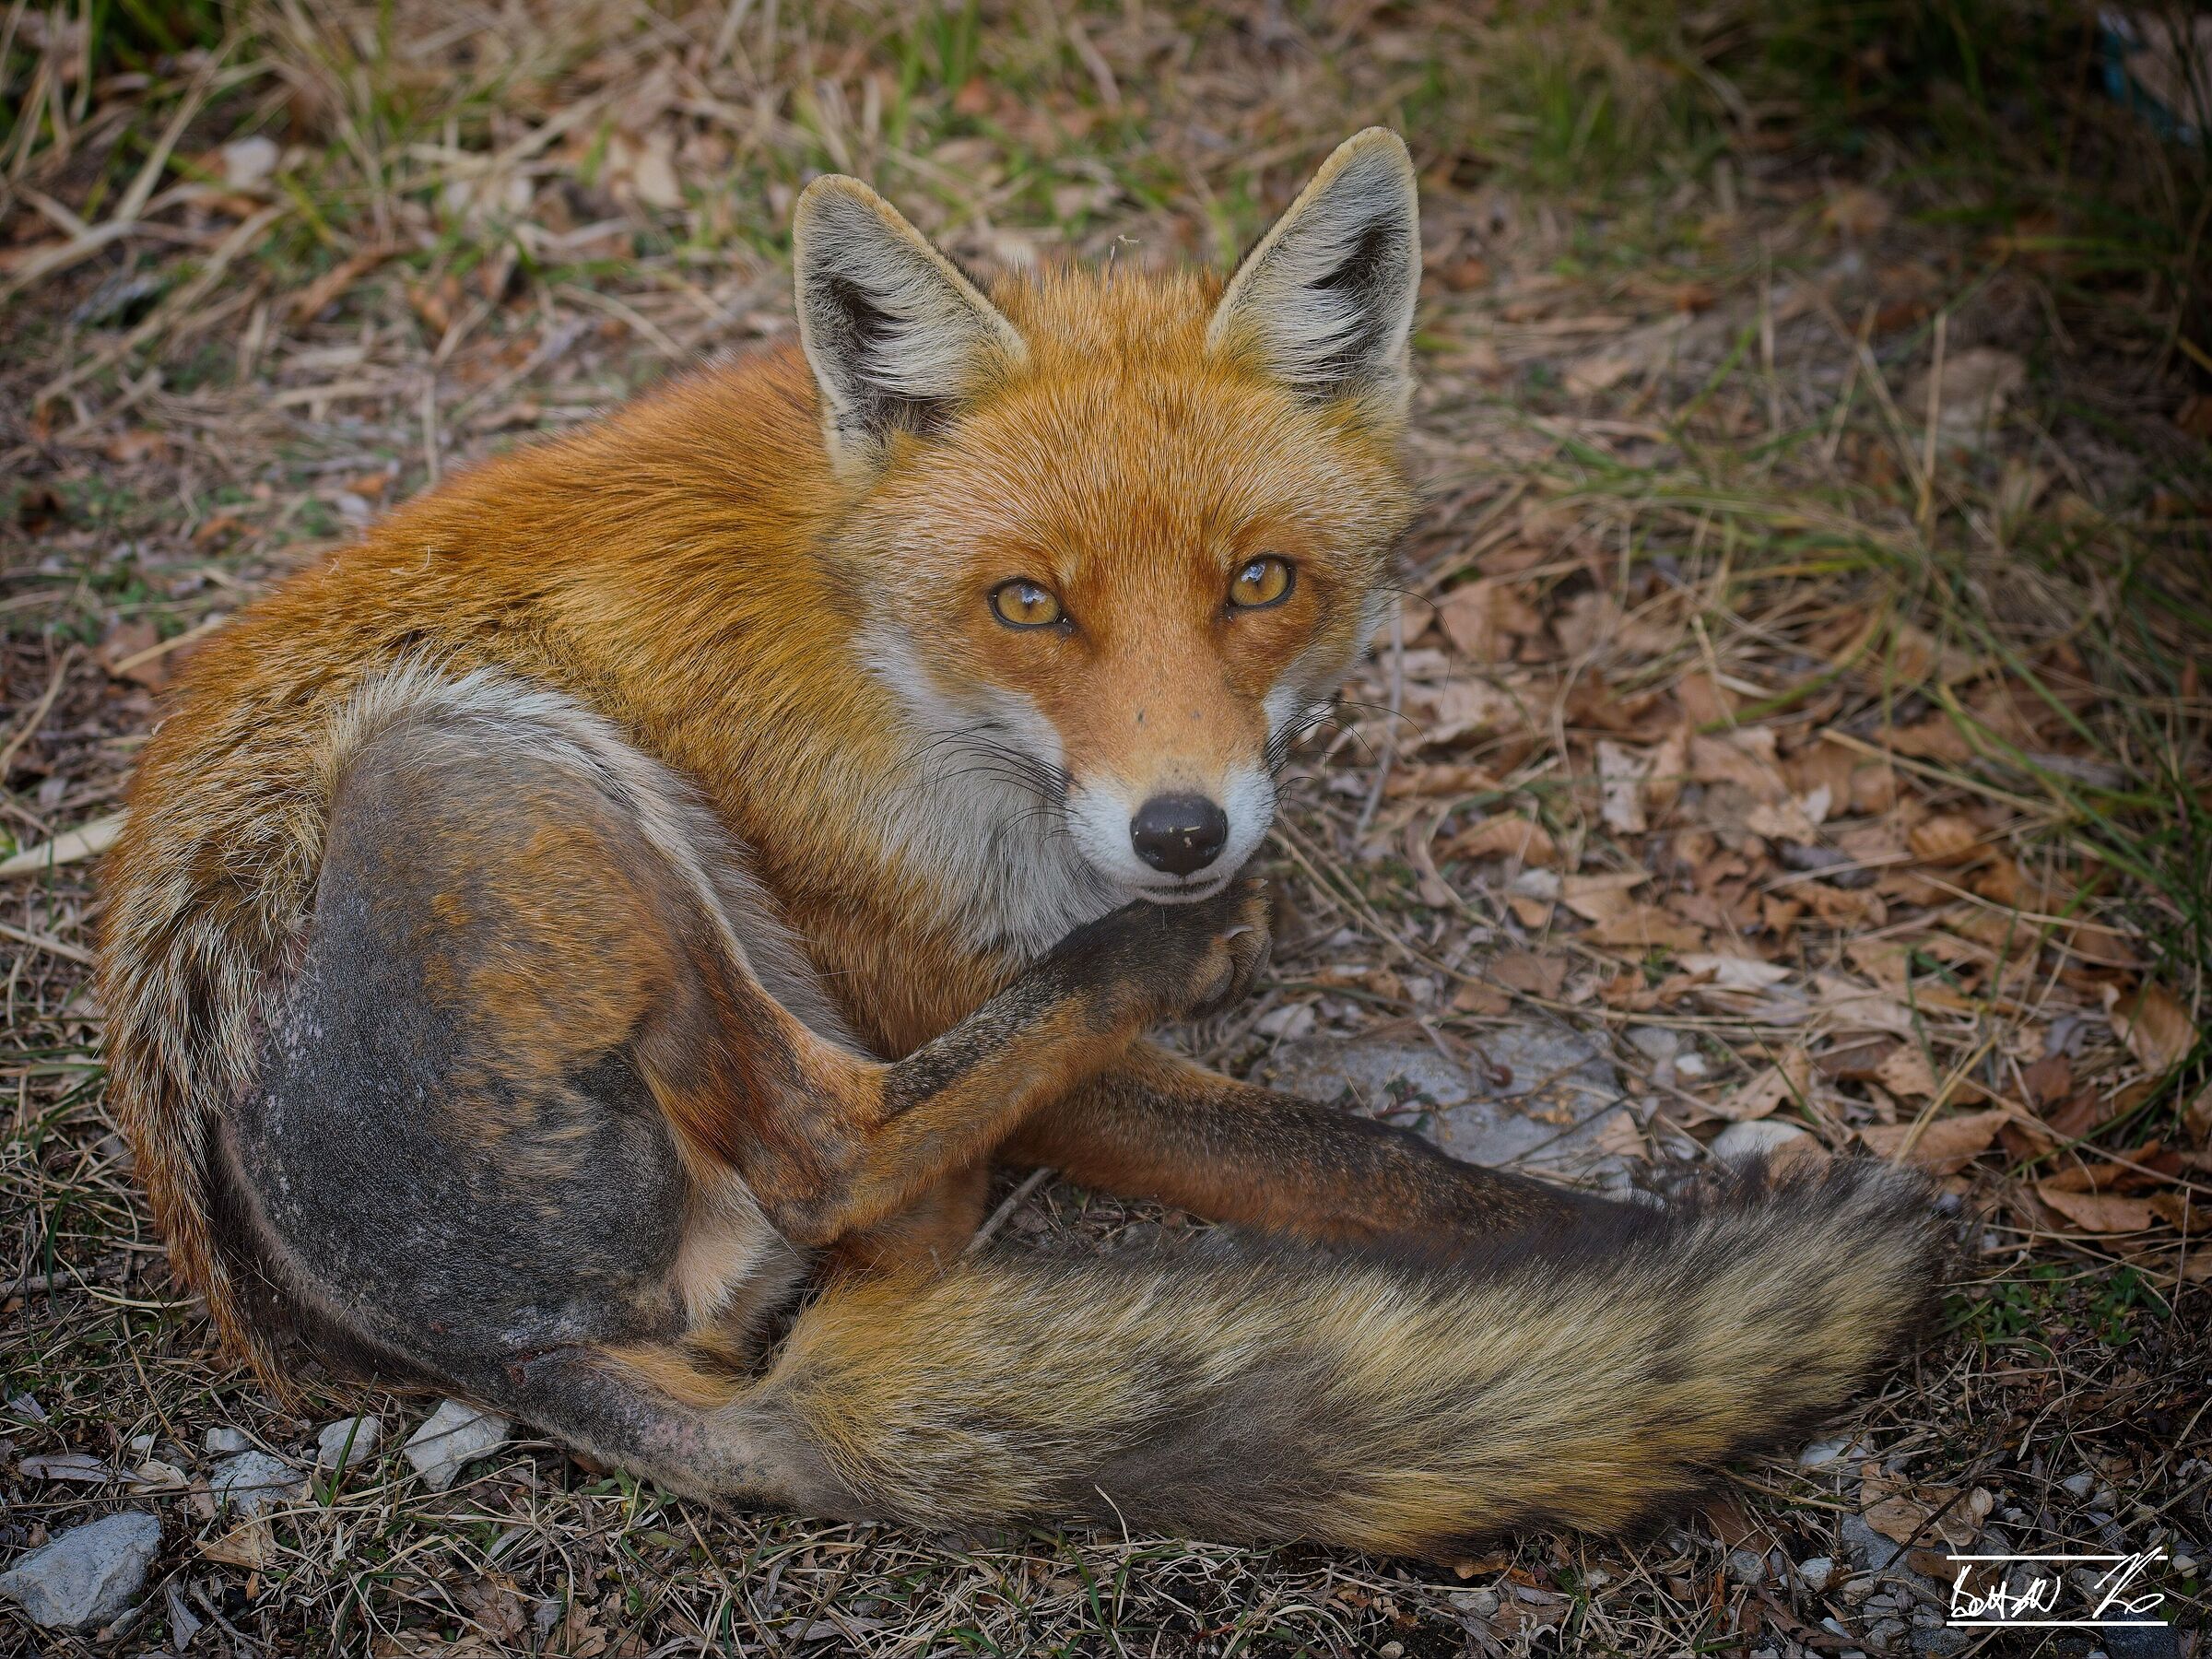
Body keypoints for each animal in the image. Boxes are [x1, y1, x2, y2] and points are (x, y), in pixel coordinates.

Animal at [97, 128, 1942, 1557]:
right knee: (834, 1158)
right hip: (480, 755)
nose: (1183, 832)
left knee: (890, 1248)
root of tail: (499, 1351)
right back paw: (1148, 969)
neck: (881, 659)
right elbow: (1370, 1158)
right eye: (1031, 604)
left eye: (1259, 583)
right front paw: (1626, 1243)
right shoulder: (934, 985)